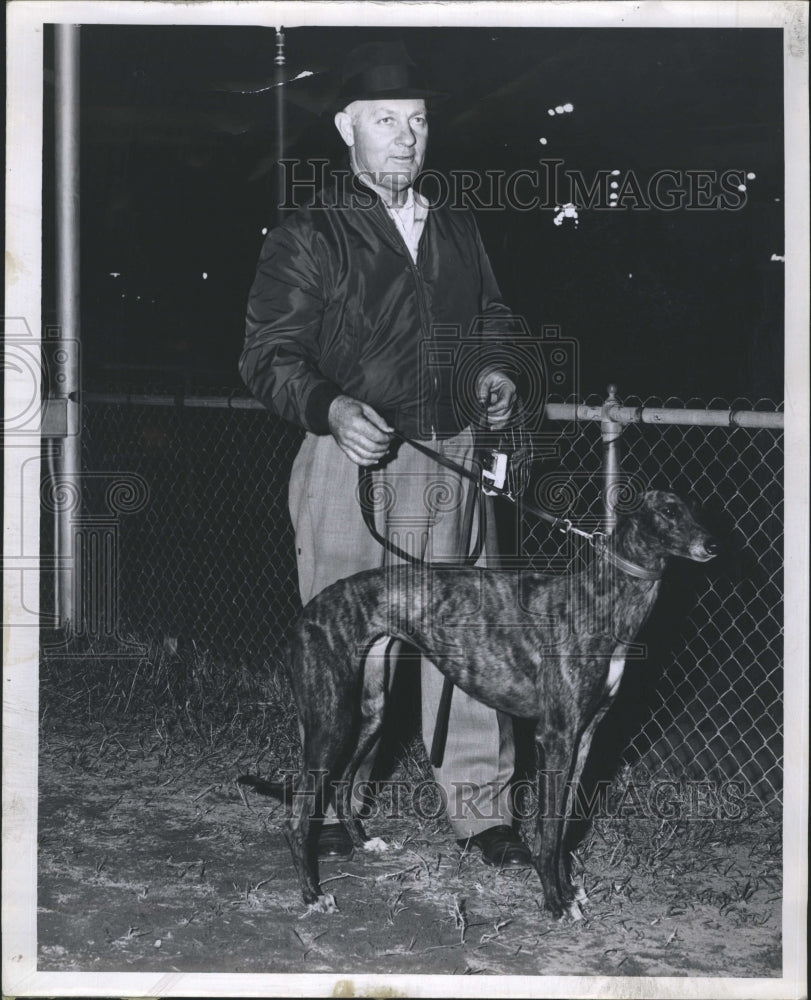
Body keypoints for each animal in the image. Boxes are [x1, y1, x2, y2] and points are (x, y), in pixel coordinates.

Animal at [241, 488, 716, 916]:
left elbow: (564, 826)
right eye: (669, 511)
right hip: (331, 720)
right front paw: (555, 901)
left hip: (372, 710)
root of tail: (307, 614)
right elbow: (548, 832)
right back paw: (312, 894)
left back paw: (363, 841)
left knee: (342, 784)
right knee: (297, 816)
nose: (712, 545)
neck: (603, 598)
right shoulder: (556, 736)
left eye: (697, 508)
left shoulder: (585, 737)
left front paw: (568, 889)